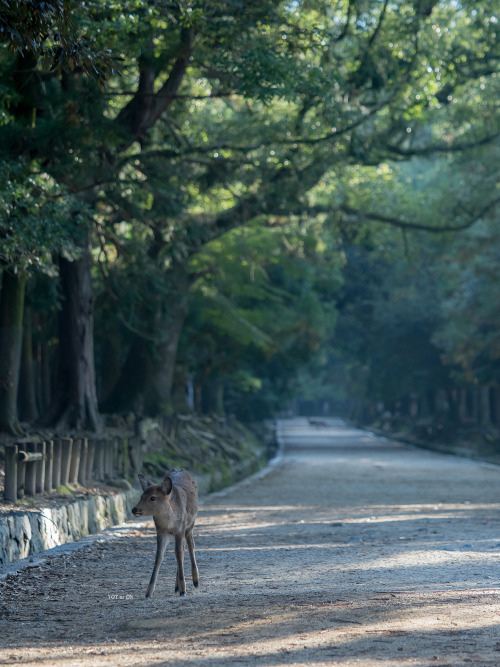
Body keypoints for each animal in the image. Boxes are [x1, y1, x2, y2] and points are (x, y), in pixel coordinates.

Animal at [133, 470, 199, 600]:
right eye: (141, 496)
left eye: (153, 497)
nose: (134, 509)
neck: (169, 524)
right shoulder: (161, 532)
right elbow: (159, 556)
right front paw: (148, 592)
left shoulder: (180, 529)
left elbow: (178, 554)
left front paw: (184, 590)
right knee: (184, 548)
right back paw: (176, 586)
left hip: (190, 525)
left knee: (190, 545)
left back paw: (195, 581)